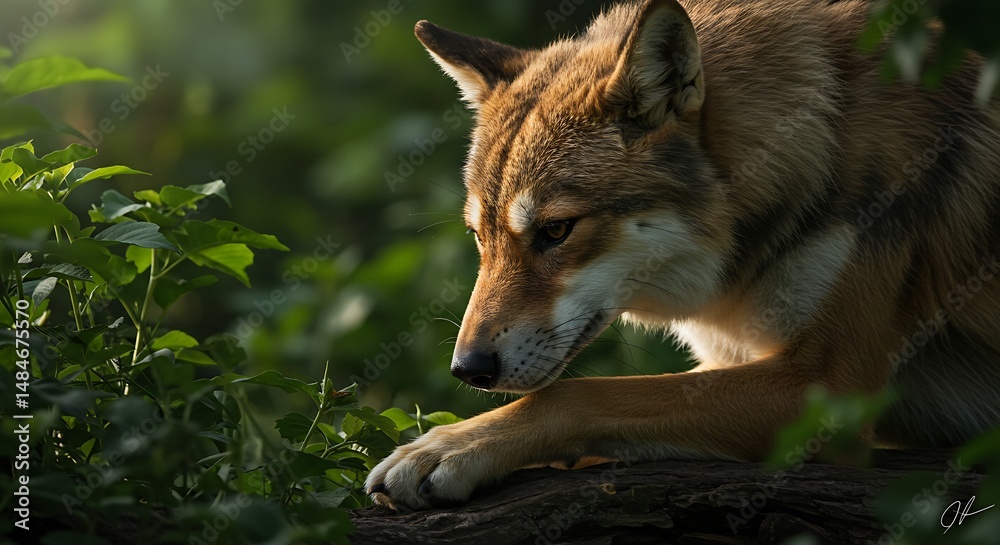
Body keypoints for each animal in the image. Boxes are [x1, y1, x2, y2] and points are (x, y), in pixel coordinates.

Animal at [366, 0, 1000, 510]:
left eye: (556, 231)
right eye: (481, 236)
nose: (467, 369)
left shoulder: (828, 390)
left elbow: (575, 393)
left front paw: (445, 448)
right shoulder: (732, 362)